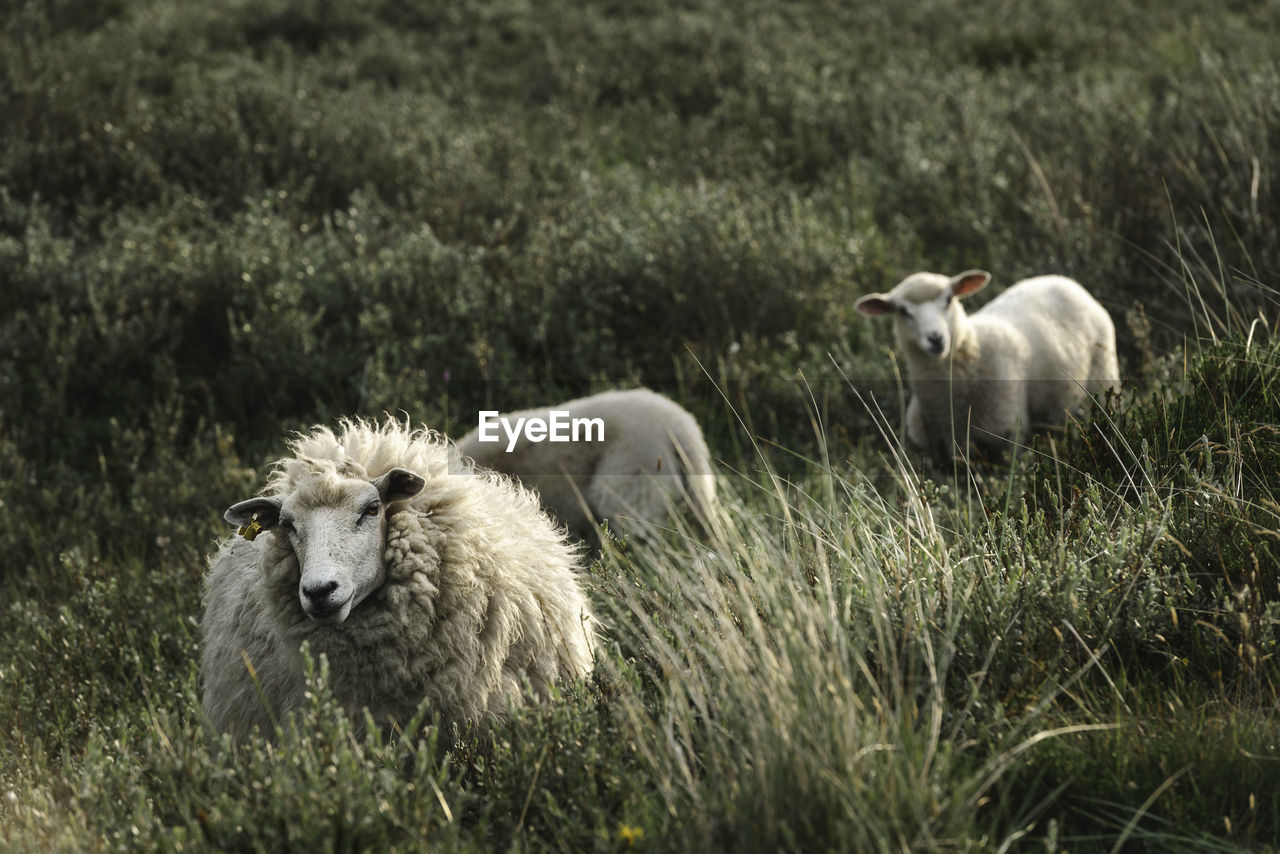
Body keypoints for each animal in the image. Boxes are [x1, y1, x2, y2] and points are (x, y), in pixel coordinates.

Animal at [860, 272, 1121, 460]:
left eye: (948, 299)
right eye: (903, 311)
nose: (936, 338)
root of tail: (1066, 282)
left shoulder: (1008, 434)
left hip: (1102, 377)